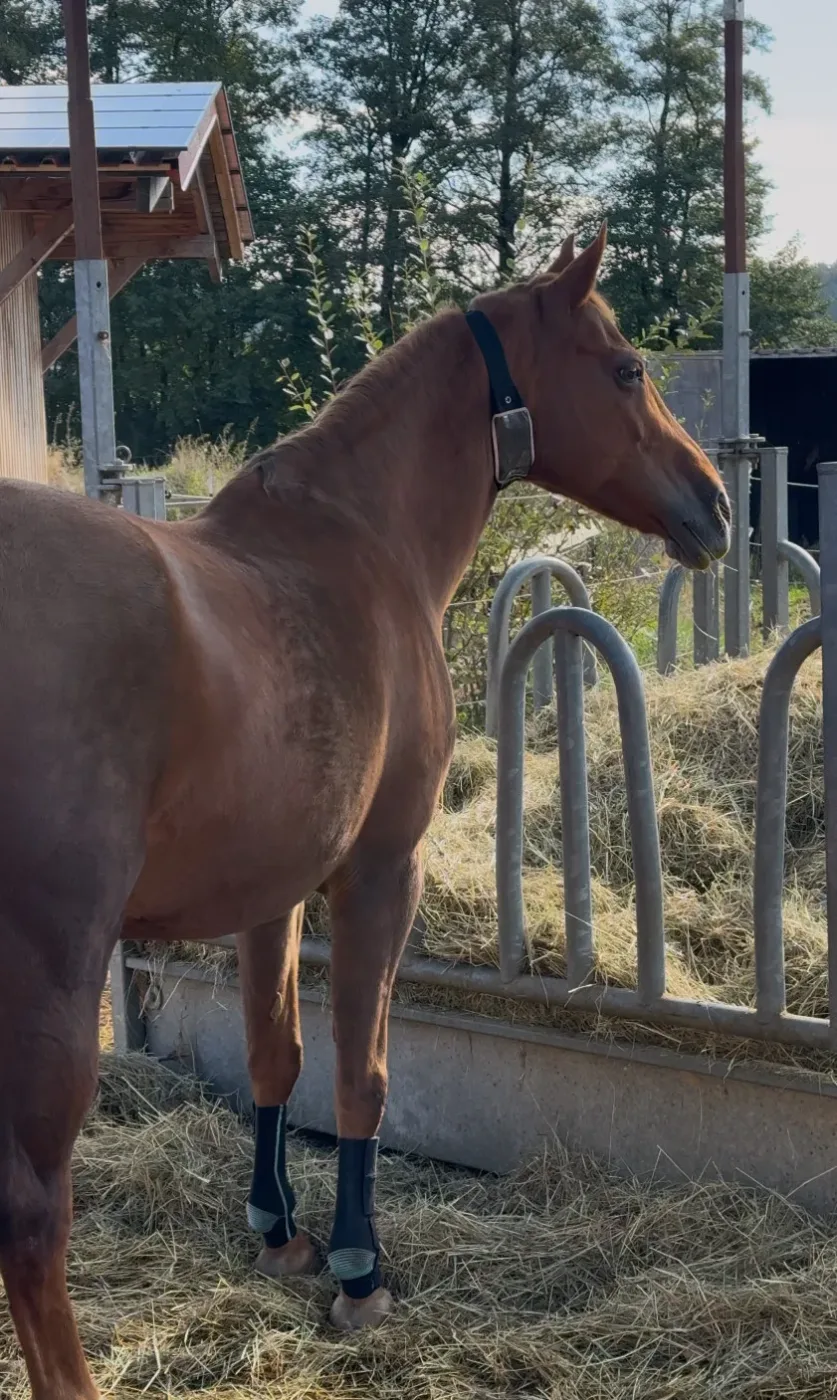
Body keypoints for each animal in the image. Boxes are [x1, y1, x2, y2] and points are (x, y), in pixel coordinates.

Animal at [0, 225, 729, 1399]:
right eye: (627, 370)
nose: (713, 503)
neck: (354, 537)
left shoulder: (271, 891)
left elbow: (275, 1054)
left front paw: (277, 1229)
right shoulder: (384, 869)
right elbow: (363, 1074)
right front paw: (356, 1268)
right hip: (51, 978)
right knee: (31, 1214)